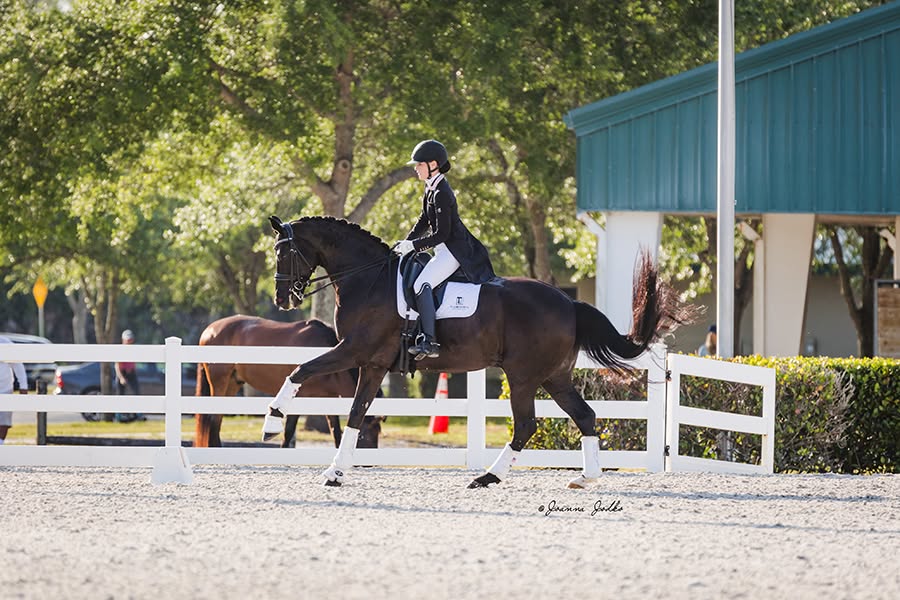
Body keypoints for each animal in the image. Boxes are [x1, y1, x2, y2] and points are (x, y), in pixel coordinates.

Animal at [194, 315, 383, 449]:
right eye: (370, 431)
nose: (368, 464)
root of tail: (209, 330)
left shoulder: (327, 397)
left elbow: (335, 430)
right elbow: (289, 431)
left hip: (233, 383)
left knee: (217, 419)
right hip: (220, 382)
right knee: (213, 419)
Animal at [263, 215, 694, 488]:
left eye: (285, 252)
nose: (283, 300)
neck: (369, 280)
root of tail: (569, 303)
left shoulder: (357, 352)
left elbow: (304, 373)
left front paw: (272, 423)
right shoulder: (370, 362)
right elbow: (350, 409)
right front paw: (334, 472)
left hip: (523, 377)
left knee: (526, 425)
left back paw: (488, 477)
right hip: (554, 377)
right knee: (584, 416)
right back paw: (585, 478)